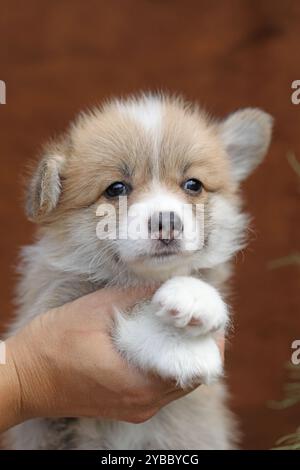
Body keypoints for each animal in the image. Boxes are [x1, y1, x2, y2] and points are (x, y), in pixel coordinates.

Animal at [7, 93, 274, 450]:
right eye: (116, 189)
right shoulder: (49, 310)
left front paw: (195, 297)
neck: (143, 280)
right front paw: (184, 349)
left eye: (193, 185)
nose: (167, 222)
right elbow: (129, 321)